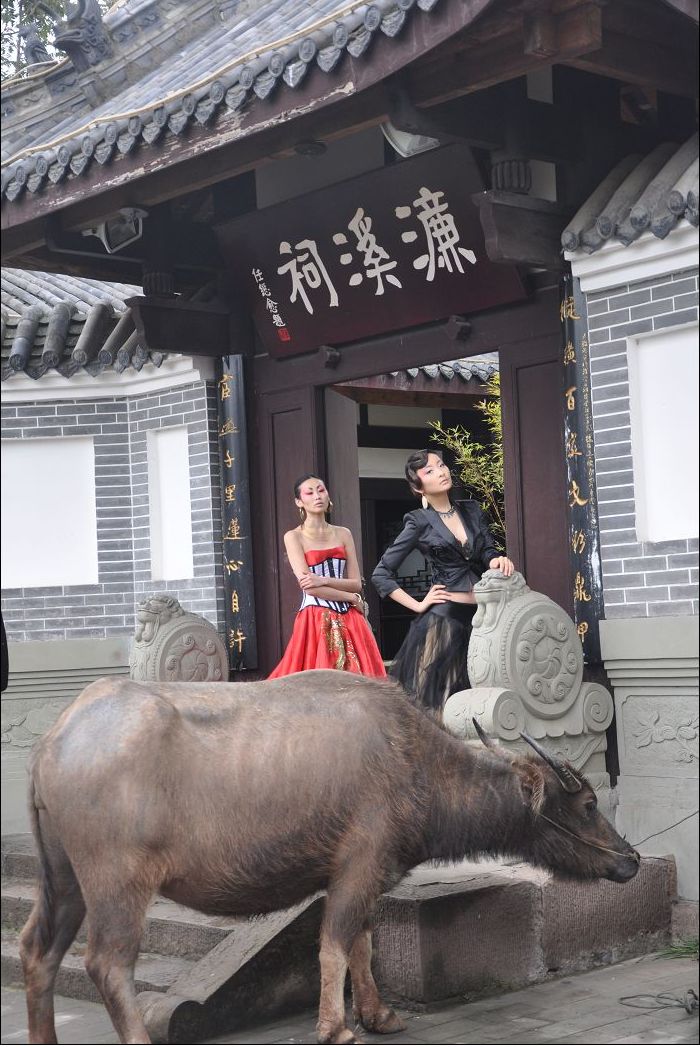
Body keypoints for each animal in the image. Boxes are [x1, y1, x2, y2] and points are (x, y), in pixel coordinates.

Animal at [20, 670, 639, 1045]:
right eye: (587, 804)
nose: (629, 859)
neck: (415, 763)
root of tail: (53, 742)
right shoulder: (357, 868)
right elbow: (335, 944)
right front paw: (336, 1025)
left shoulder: (368, 879)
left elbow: (363, 943)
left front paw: (379, 1014)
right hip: (117, 885)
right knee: (107, 964)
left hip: (63, 880)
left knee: (38, 952)